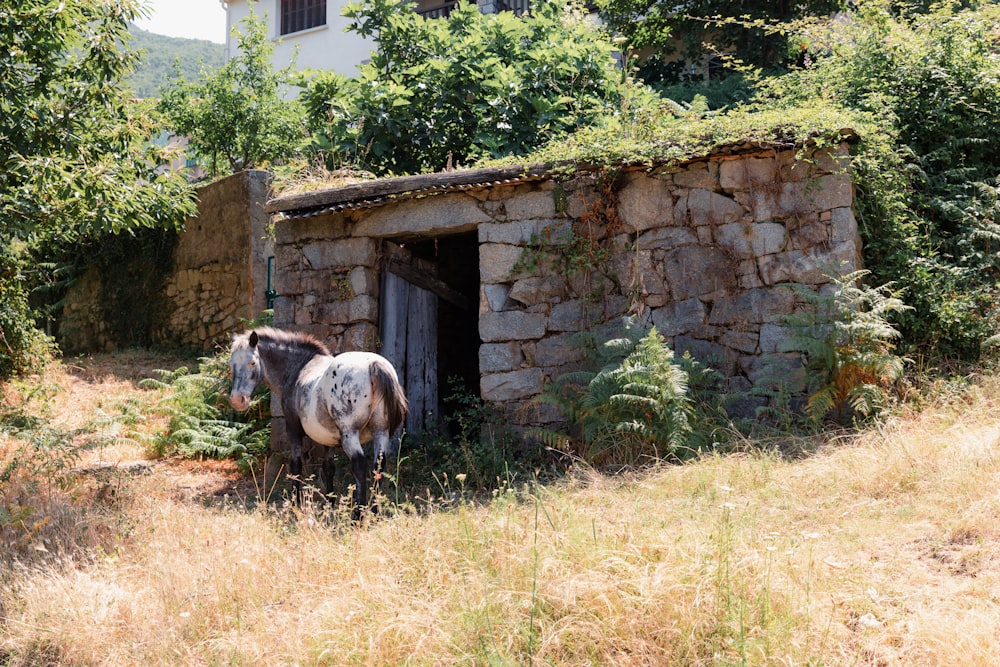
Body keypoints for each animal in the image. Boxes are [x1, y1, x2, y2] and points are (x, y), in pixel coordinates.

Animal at [229, 326, 406, 516]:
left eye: (252, 363)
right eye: (231, 364)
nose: (237, 400)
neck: (299, 368)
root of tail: (373, 365)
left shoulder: (293, 429)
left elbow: (296, 465)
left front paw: (296, 503)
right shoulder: (328, 438)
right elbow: (328, 468)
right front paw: (330, 503)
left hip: (350, 434)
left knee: (359, 465)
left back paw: (358, 514)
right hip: (381, 432)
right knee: (378, 466)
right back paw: (374, 511)